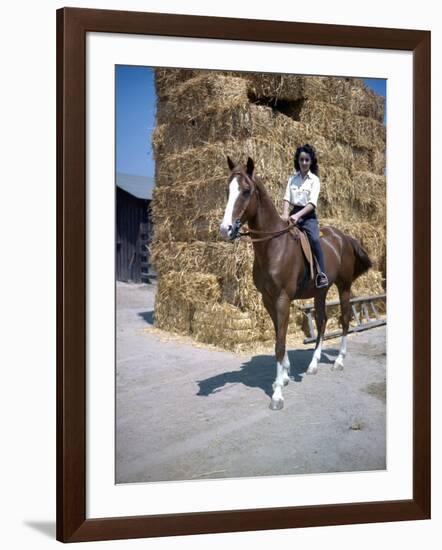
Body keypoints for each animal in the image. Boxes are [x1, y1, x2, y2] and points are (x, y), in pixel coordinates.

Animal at [219, 157, 372, 412]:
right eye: (227, 190)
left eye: (246, 191)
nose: (226, 229)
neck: (274, 246)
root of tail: (344, 237)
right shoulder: (268, 299)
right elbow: (278, 336)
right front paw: (284, 377)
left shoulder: (282, 298)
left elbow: (280, 344)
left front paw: (277, 395)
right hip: (321, 291)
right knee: (322, 321)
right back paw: (313, 364)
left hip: (344, 287)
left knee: (344, 319)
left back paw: (339, 361)